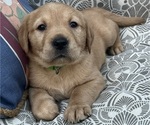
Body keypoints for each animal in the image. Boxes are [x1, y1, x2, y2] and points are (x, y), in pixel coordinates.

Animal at [17, 2, 145, 123]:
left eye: (73, 24)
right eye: (41, 27)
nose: (60, 42)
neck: (60, 68)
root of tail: (93, 10)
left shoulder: (94, 79)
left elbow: (80, 91)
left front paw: (76, 108)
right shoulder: (34, 86)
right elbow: (37, 97)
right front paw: (47, 108)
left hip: (109, 33)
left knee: (116, 27)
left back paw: (116, 46)